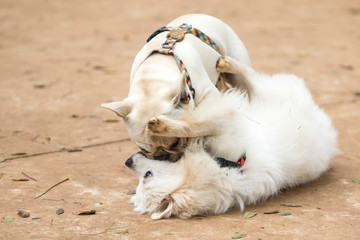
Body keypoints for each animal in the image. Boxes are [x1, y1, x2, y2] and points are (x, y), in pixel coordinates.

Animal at [124, 56, 338, 219]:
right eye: (141, 180)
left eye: (147, 175)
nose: (127, 161)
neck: (226, 165)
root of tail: (326, 125)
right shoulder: (225, 120)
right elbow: (192, 127)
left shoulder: (224, 120)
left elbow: (191, 126)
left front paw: (163, 126)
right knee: (253, 81)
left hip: (271, 93)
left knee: (251, 78)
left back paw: (227, 65)